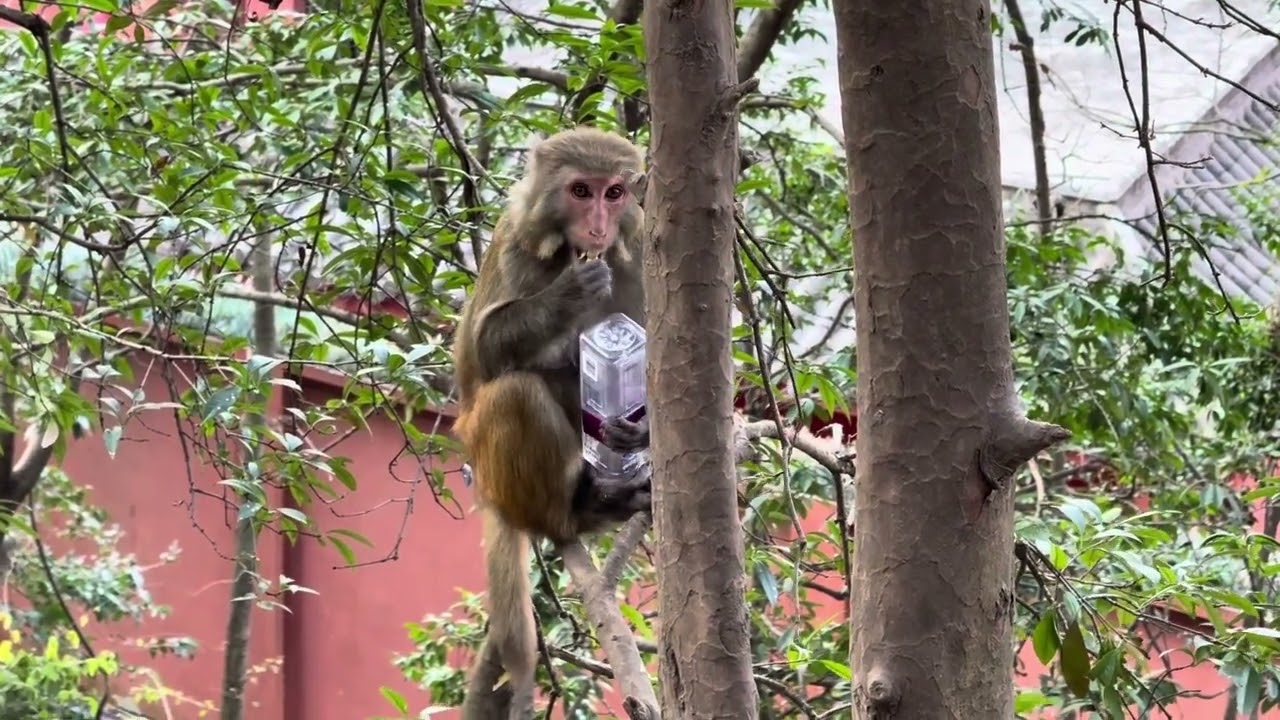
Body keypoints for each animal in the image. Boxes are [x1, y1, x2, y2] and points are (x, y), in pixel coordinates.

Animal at [449, 126, 653, 720]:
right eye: (581, 190)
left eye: (614, 193)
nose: (598, 226)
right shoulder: (517, 241)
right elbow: (483, 350)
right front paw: (569, 289)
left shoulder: (640, 258)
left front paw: (642, 429)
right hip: (487, 453)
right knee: (513, 392)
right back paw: (572, 512)